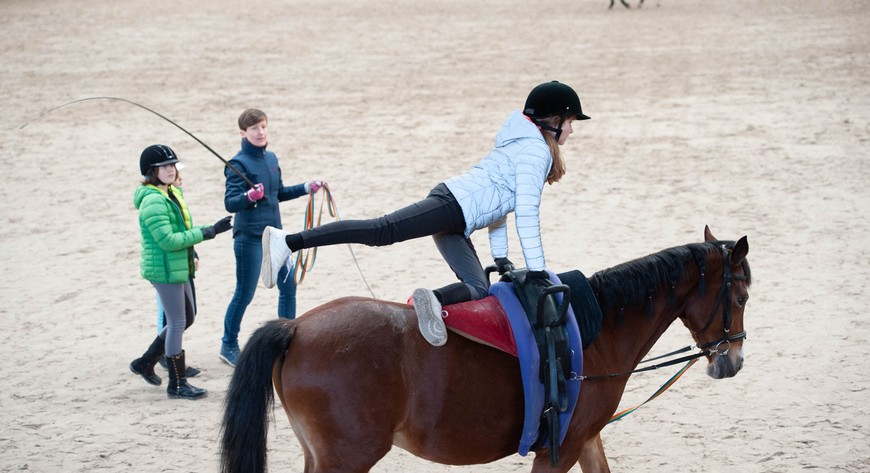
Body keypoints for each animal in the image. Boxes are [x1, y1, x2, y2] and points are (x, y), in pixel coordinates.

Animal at [218, 227, 748, 470]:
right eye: (741, 296)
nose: (734, 360)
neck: (594, 327)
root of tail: (296, 328)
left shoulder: (587, 438)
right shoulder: (561, 448)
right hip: (347, 458)